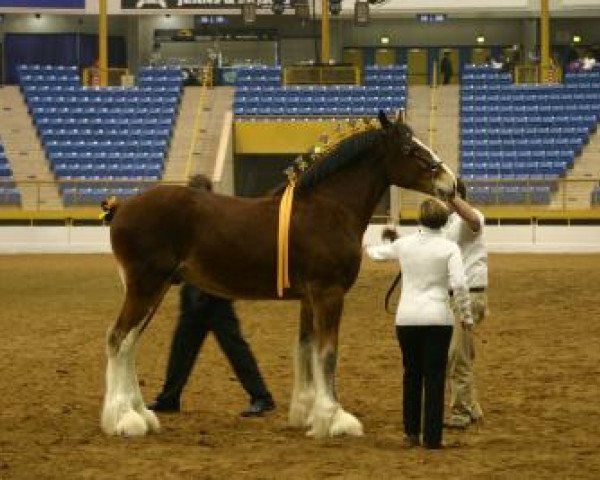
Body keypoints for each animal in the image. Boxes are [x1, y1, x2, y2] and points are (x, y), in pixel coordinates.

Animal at [101, 111, 454, 438]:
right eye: (410, 148)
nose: (451, 184)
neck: (329, 207)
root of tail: (121, 208)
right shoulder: (329, 293)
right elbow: (327, 353)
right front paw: (336, 418)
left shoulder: (310, 297)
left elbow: (306, 347)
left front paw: (309, 415)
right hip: (145, 288)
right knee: (118, 340)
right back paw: (124, 420)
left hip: (155, 289)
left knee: (129, 344)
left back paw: (140, 416)